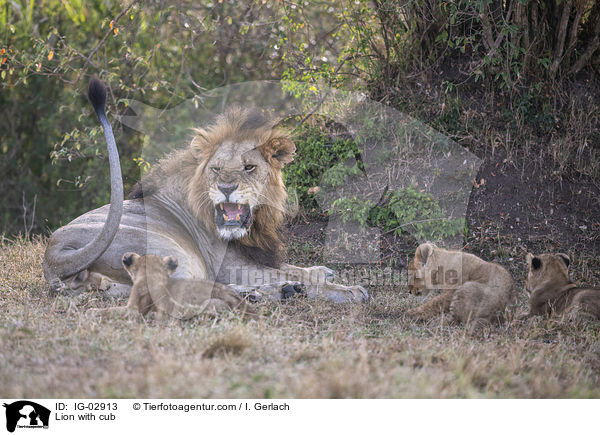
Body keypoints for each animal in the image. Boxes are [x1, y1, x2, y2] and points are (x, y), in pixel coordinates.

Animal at [42, 77, 368, 304]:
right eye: (216, 169)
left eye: (249, 167)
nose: (226, 188)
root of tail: (55, 254)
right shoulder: (230, 265)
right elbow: (296, 275)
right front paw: (349, 291)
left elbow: (293, 267)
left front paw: (319, 271)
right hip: (177, 255)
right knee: (182, 290)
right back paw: (273, 292)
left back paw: (267, 293)